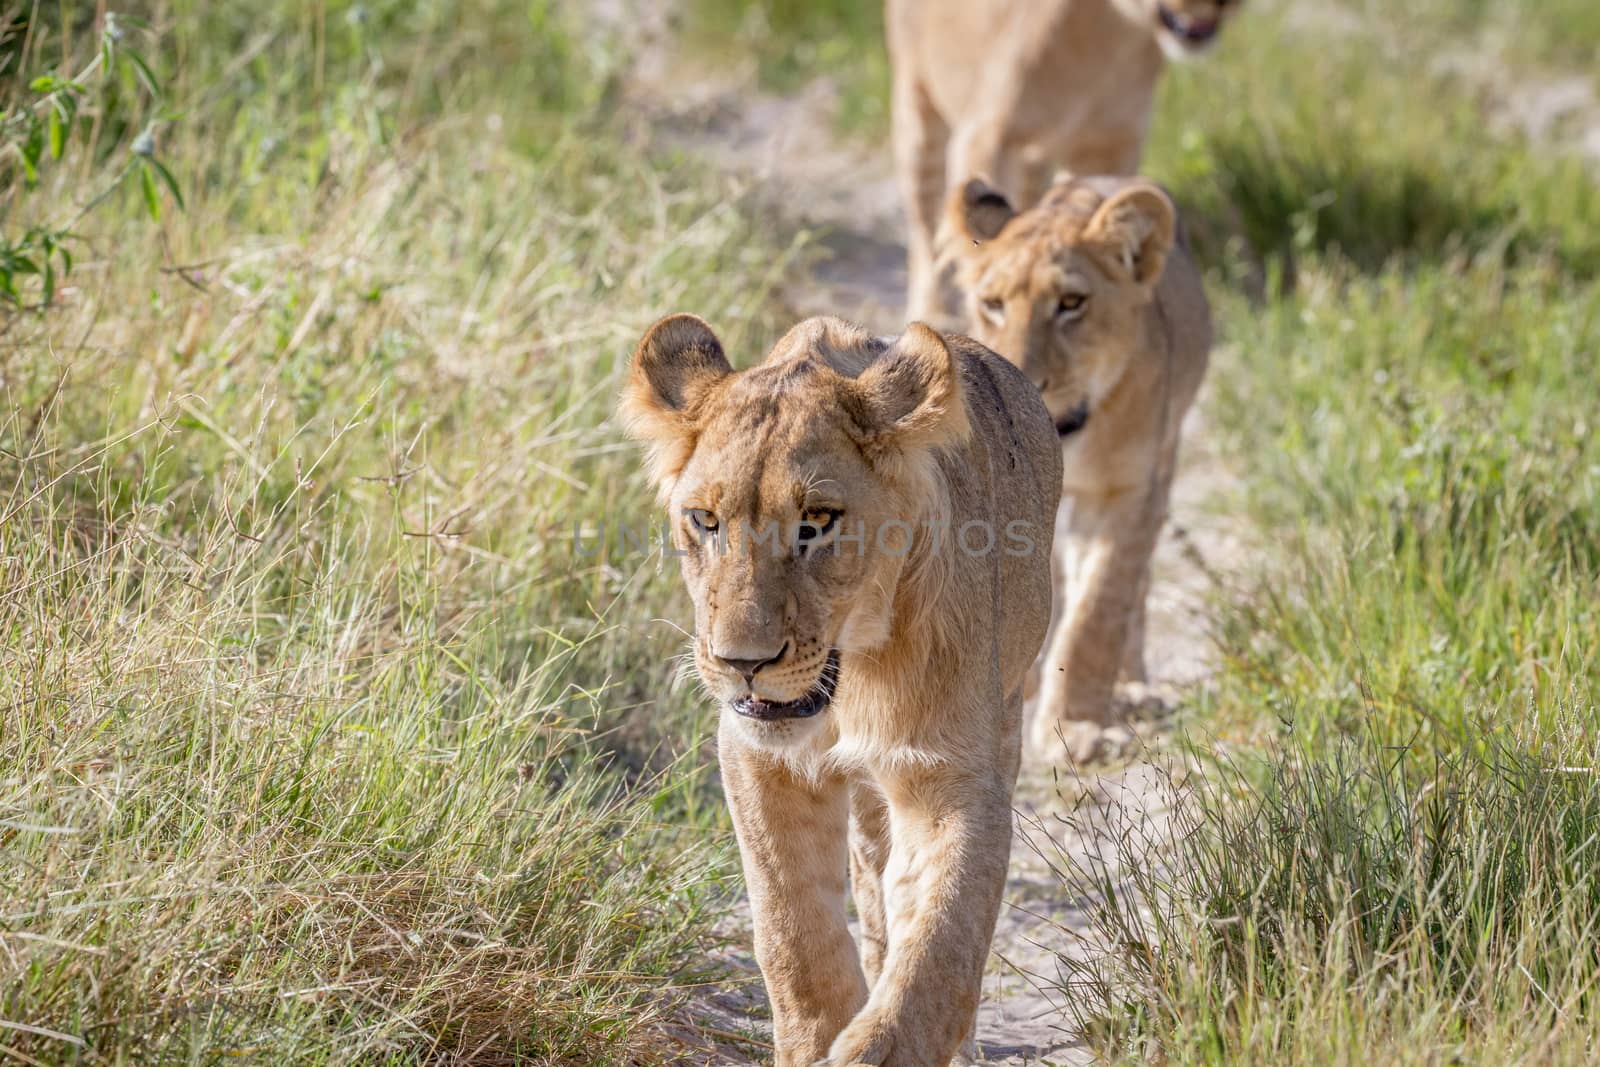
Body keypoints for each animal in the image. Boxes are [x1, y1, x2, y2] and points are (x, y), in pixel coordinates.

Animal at [624, 313, 1062, 1062]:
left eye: (818, 521)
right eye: (705, 521)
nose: (741, 661)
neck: (849, 681)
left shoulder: (951, 774)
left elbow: (942, 938)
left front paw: (880, 1046)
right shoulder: (757, 756)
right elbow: (792, 931)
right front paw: (815, 1039)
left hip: (1005, 711)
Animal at [896, 0, 1241, 319]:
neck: (1118, 35)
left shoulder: (1110, 149)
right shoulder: (986, 135)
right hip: (920, 110)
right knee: (926, 229)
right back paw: (931, 312)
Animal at [934, 173, 1209, 758]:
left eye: (1071, 303)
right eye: (993, 304)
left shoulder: (1129, 490)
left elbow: (1098, 607)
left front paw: (1076, 725)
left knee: (1133, 589)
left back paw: (1131, 686)